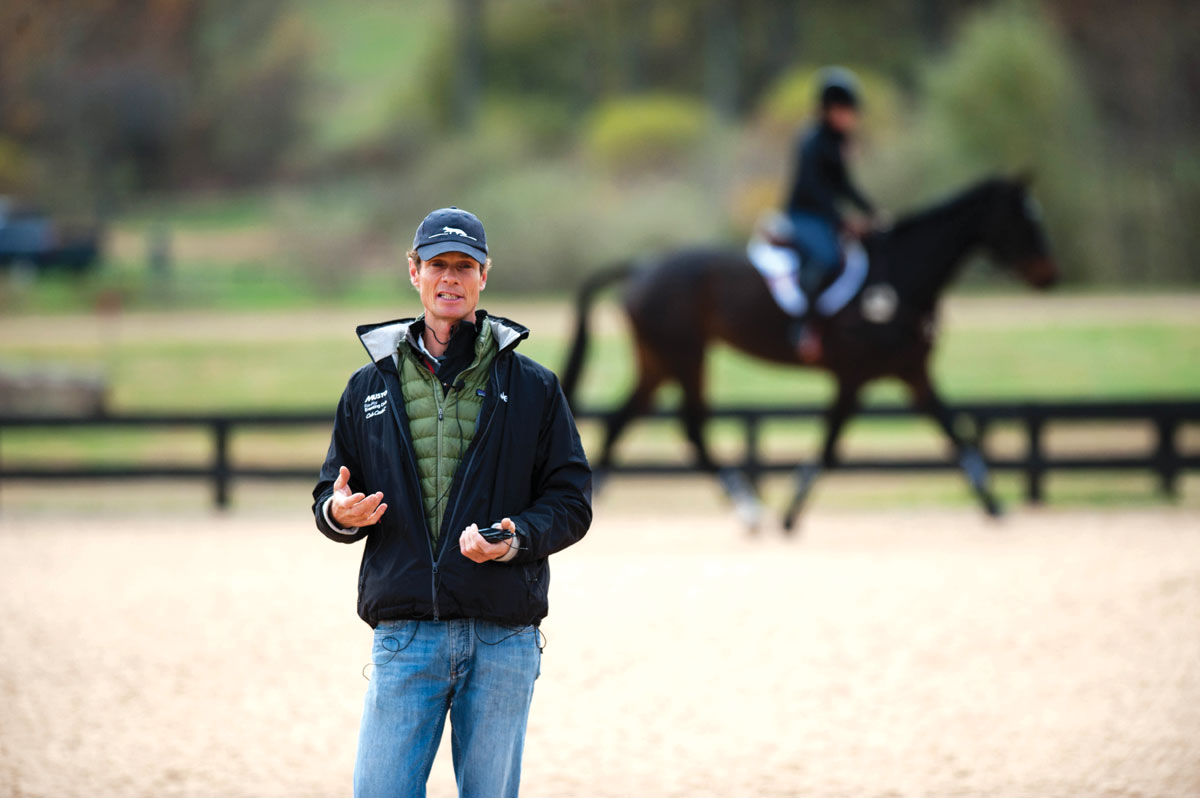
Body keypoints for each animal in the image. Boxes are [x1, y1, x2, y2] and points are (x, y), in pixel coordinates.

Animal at [556, 174, 1056, 528]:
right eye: (1023, 219)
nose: (1048, 275)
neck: (898, 276)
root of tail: (643, 265)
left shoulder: (913, 372)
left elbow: (957, 436)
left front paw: (994, 506)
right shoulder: (853, 376)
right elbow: (832, 446)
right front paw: (790, 514)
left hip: (659, 362)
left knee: (624, 423)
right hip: (685, 358)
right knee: (690, 427)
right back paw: (750, 510)